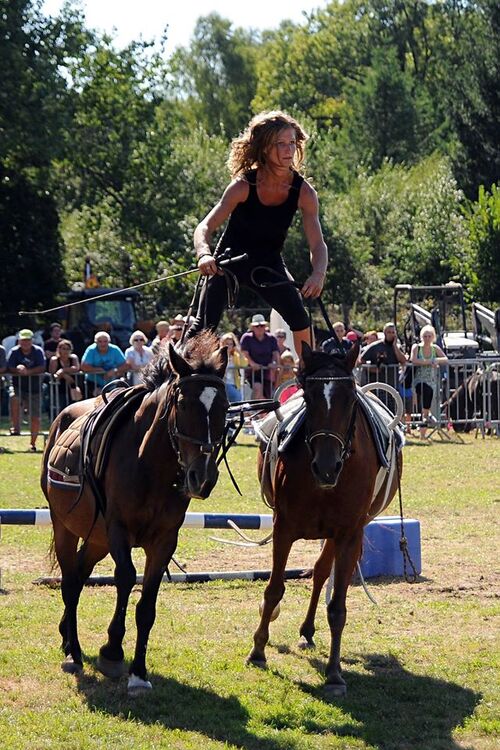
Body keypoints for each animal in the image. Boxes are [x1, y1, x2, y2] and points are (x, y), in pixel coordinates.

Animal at [41, 334, 229, 700]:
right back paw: (73, 653)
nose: (203, 477)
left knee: (80, 575)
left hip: (96, 538)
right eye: (183, 404)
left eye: (225, 407)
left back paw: (67, 636)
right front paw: (112, 652)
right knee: (70, 581)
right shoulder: (119, 530)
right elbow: (126, 577)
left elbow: (147, 604)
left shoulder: (164, 540)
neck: (151, 464)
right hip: (65, 526)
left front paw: (138, 673)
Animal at [248, 346, 404, 700]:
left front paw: (334, 674)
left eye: (349, 399)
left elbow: (337, 607)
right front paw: (258, 651)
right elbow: (274, 590)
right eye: (309, 397)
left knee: (321, 572)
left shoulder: (348, 534)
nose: (327, 466)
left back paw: (309, 630)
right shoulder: (283, 528)